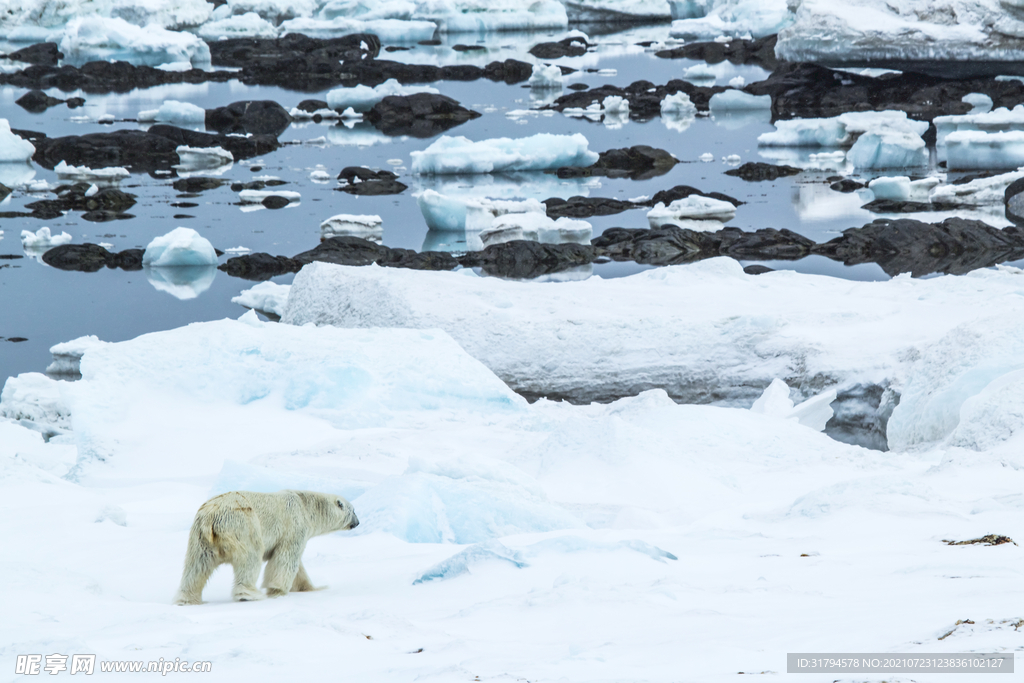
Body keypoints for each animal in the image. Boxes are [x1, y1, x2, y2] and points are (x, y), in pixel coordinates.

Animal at [171, 489, 356, 606]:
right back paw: (249, 595)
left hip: (200, 539)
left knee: (197, 567)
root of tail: (211, 518)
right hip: (243, 526)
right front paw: (277, 590)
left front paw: (312, 588)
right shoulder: (294, 527)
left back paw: (187, 599)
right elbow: (286, 559)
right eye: (353, 510)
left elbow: (298, 568)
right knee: (250, 559)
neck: (305, 505)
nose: (358, 522)